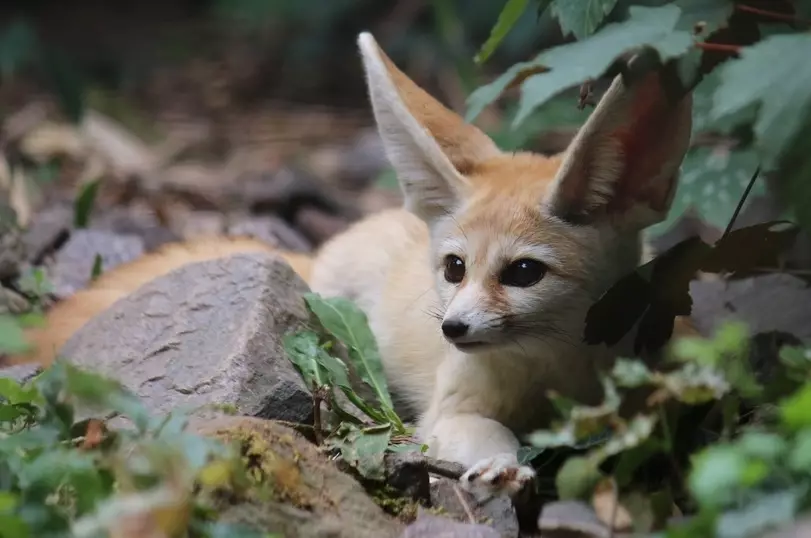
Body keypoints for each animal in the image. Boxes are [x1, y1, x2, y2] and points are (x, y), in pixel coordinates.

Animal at [11, 32, 692, 494]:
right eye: (454, 268)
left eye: (524, 273)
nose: (453, 328)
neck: (554, 374)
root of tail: (317, 250)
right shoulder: (451, 410)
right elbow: (490, 434)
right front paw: (503, 464)